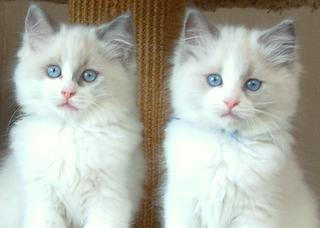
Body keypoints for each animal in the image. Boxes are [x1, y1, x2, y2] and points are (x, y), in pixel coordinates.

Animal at [0, 4, 144, 228]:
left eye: (89, 76)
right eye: (53, 71)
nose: (67, 92)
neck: (71, 131)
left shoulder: (108, 200)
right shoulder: (44, 201)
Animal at [164, 8, 318, 227]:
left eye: (253, 85)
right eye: (214, 80)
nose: (230, 102)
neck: (225, 146)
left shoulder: (255, 213)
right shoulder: (184, 205)